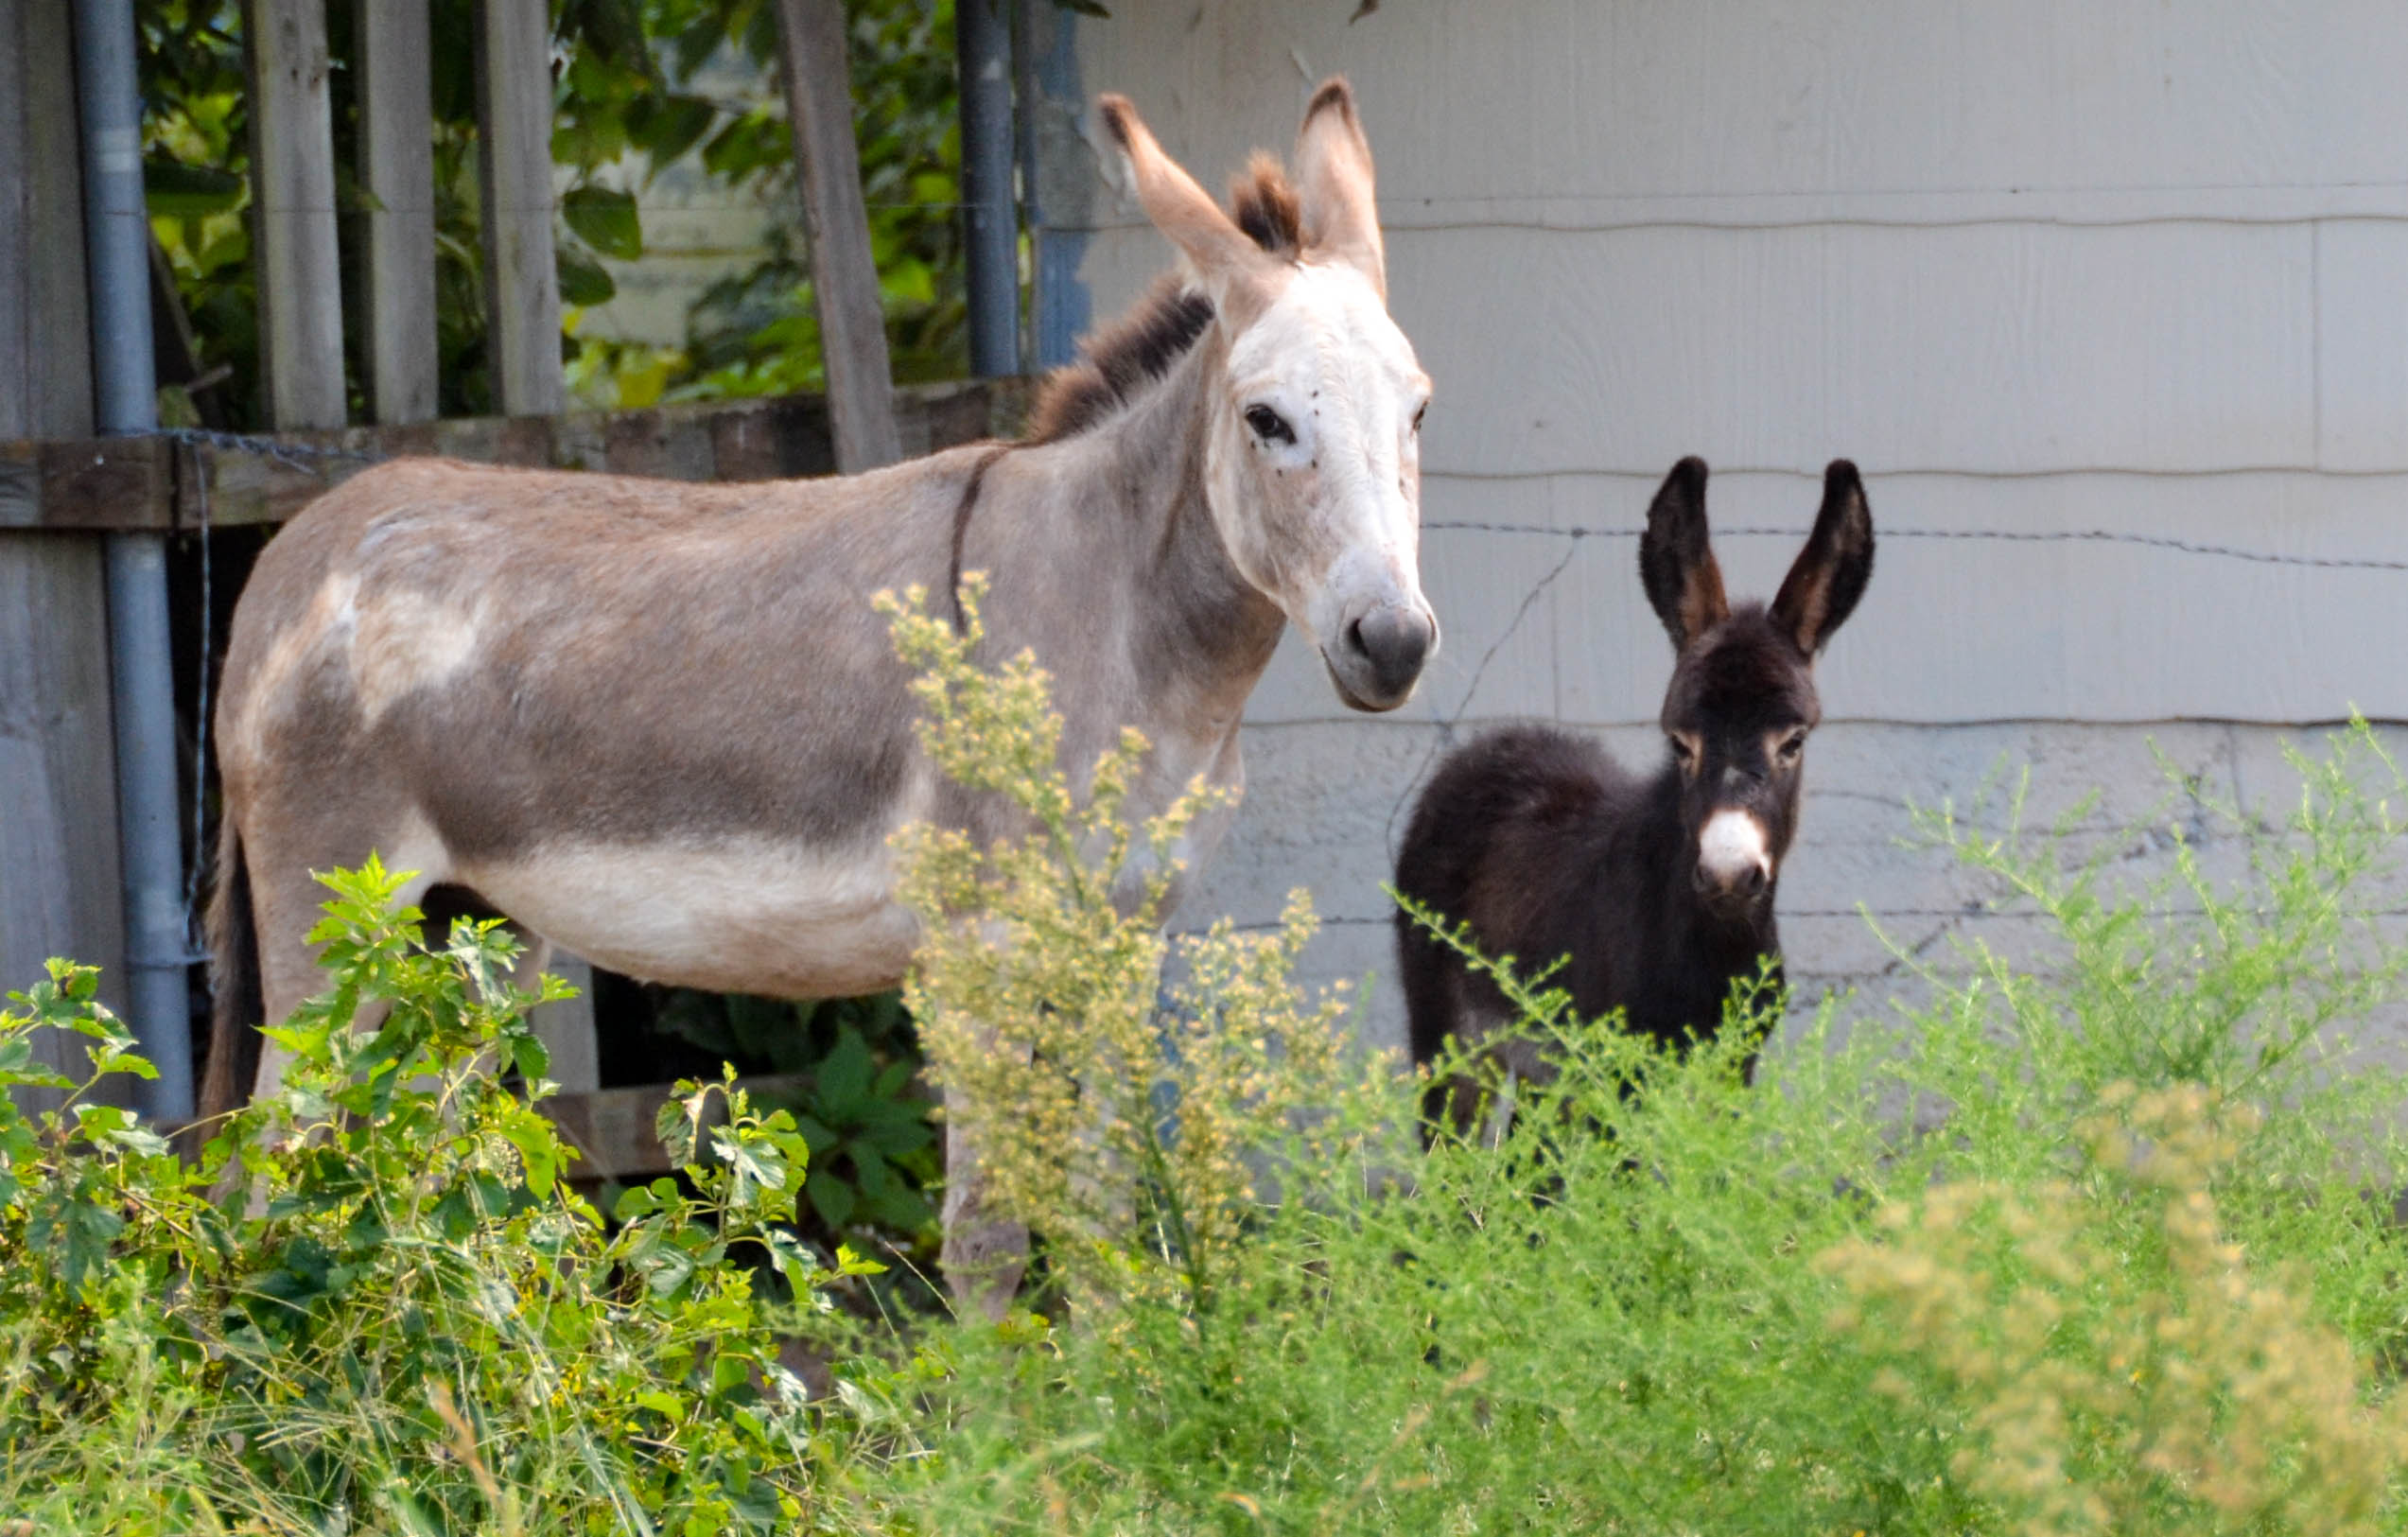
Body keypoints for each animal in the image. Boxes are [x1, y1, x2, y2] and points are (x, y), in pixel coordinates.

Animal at [1396, 457, 1877, 1132]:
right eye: (1680, 742)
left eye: (1794, 742)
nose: (1728, 875)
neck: (1712, 952)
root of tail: (1493, 744)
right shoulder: (1612, 1076)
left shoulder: (1730, 1072)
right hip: (1457, 1043)